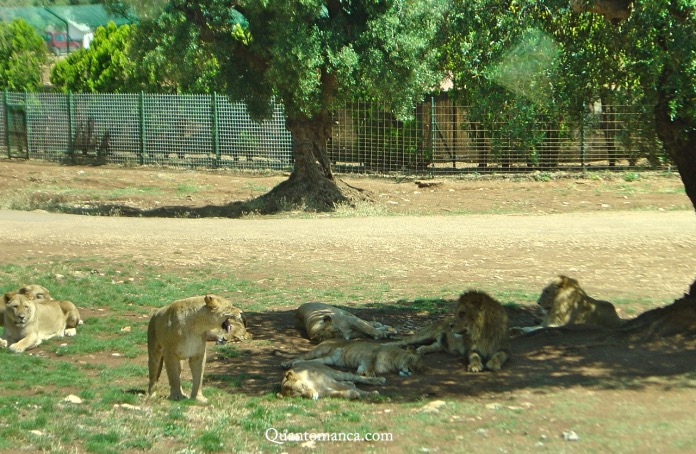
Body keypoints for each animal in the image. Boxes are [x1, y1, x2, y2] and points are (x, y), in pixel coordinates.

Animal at [278, 340, 422, 376]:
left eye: (418, 368)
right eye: (410, 360)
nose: (411, 370)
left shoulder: (362, 364)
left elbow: (361, 370)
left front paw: (360, 375)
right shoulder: (369, 354)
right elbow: (370, 366)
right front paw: (370, 375)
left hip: (326, 359)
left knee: (303, 360)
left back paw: (293, 364)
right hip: (319, 350)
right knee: (300, 356)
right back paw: (286, 363)